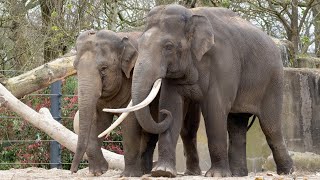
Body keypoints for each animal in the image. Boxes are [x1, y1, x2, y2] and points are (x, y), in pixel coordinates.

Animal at [69, 28, 201, 176]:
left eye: (104, 68)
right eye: (75, 67)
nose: (73, 171)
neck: (121, 38)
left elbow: (130, 122)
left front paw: (128, 175)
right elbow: (98, 121)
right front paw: (99, 172)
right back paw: (145, 171)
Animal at [104, 4, 292, 179]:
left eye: (168, 47)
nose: (161, 114)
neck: (191, 14)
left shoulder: (224, 64)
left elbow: (214, 110)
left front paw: (216, 175)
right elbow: (172, 106)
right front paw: (162, 172)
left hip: (274, 81)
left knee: (270, 127)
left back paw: (286, 171)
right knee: (236, 124)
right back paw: (238, 174)